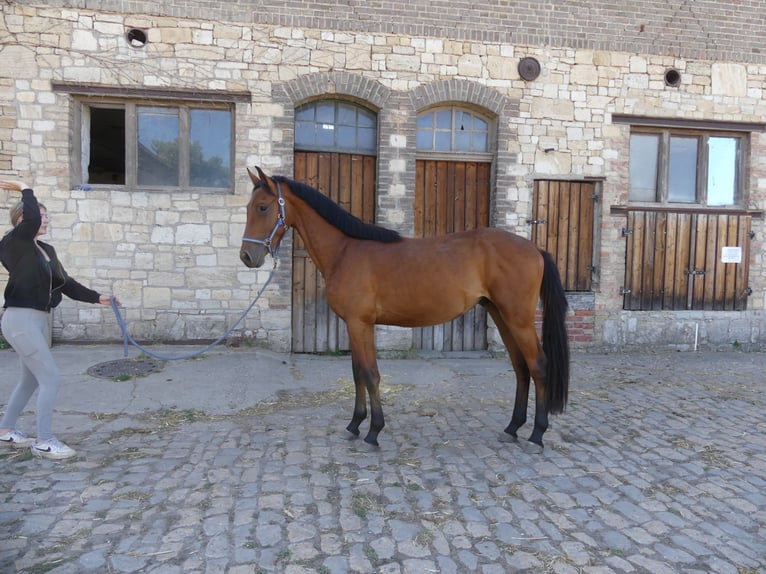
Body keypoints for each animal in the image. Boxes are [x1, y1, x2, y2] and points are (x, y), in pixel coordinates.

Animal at [240, 166, 570, 453]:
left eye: (263, 208)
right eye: (248, 207)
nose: (247, 256)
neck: (346, 251)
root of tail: (535, 249)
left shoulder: (360, 323)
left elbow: (370, 374)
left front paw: (373, 431)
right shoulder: (353, 325)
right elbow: (357, 373)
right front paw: (354, 425)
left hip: (519, 319)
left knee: (538, 365)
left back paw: (537, 434)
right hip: (500, 315)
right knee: (520, 368)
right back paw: (512, 428)